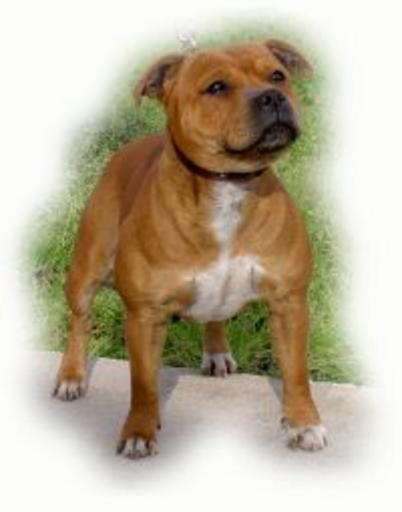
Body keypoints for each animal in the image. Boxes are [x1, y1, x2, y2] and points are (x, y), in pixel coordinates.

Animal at [53, 39, 328, 457]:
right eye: (216, 87)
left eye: (278, 75)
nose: (272, 96)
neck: (228, 184)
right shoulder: (145, 316)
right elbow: (142, 384)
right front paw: (139, 430)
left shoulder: (289, 302)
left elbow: (296, 373)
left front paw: (303, 424)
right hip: (87, 268)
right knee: (80, 320)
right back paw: (71, 375)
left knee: (213, 316)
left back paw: (216, 352)